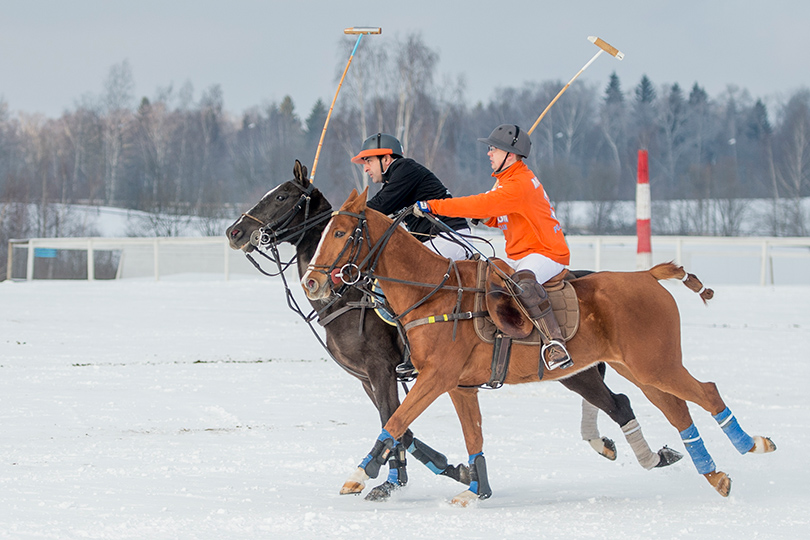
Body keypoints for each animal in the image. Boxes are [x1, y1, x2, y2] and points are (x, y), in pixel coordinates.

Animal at [230, 162, 680, 500]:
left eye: (282, 196)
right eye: (324, 233)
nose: (235, 232)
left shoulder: (383, 368)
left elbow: (396, 422)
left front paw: (403, 478)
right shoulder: (369, 377)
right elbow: (399, 425)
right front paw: (425, 475)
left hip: (579, 366)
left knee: (619, 401)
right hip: (577, 370)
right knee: (615, 400)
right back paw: (616, 447)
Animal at [302, 188, 776, 504]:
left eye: (342, 232)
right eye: (323, 232)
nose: (312, 282)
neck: (430, 292)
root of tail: (647, 275)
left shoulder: (433, 377)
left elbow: (396, 421)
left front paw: (358, 476)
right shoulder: (458, 385)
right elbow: (469, 435)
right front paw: (474, 489)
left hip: (655, 363)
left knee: (706, 392)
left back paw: (751, 445)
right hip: (639, 368)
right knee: (674, 409)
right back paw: (713, 473)